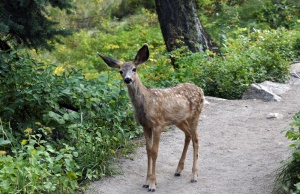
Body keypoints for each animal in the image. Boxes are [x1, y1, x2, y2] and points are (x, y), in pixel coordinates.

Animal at [98, 44, 204, 192]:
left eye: (134, 69)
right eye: (120, 71)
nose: (127, 79)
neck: (146, 103)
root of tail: (200, 89)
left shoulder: (157, 124)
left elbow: (154, 152)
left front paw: (153, 184)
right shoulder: (145, 125)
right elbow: (148, 151)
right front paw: (146, 182)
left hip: (195, 114)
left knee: (196, 139)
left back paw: (194, 175)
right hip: (179, 119)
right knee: (188, 135)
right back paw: (178, 170)